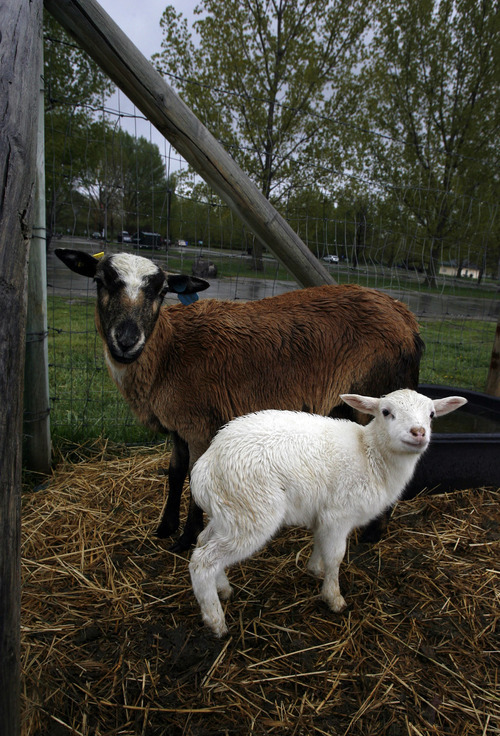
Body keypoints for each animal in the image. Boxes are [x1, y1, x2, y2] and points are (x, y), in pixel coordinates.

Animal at [54, 250, 424, 548]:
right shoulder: (178, 425)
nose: (127, 339)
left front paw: (187, 539)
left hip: (377, 392)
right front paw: (165, 527)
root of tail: (405, 315)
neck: (167, 352)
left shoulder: (199, 424)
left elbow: (193, 479)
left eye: (161, 291)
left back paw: (372, 534)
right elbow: (174, 473)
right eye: (101, 281)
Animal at [188, 388, 464, 636]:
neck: (370, 454)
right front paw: (333, 597)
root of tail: (205, 466)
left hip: (229, 512)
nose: (418, 432)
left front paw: (315, 569)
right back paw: (215, 621)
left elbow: (320, 544)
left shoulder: (324, 515)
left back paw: (222, 589)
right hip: (251, 511)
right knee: (203, 561)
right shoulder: (339, 514)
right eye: (386, 412)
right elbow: (336, 556)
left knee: (203, 541)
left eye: (431, 414)